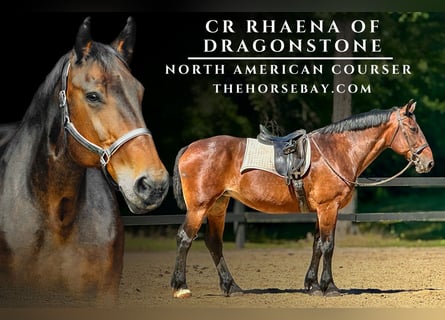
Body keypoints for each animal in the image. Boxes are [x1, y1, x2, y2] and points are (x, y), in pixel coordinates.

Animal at [171, 100, 434, 298]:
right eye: (413, 129)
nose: (429, 162)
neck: (337, 151)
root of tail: (189, 148)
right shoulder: (329, 208)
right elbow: (328, 245)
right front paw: (331, 287)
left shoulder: (321, 210)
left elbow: (317, 245)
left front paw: (313, 286)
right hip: (199, 207)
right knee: (185, 238)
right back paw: (181, 287)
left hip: (218, 206)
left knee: (214, 243)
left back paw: (231, 287)